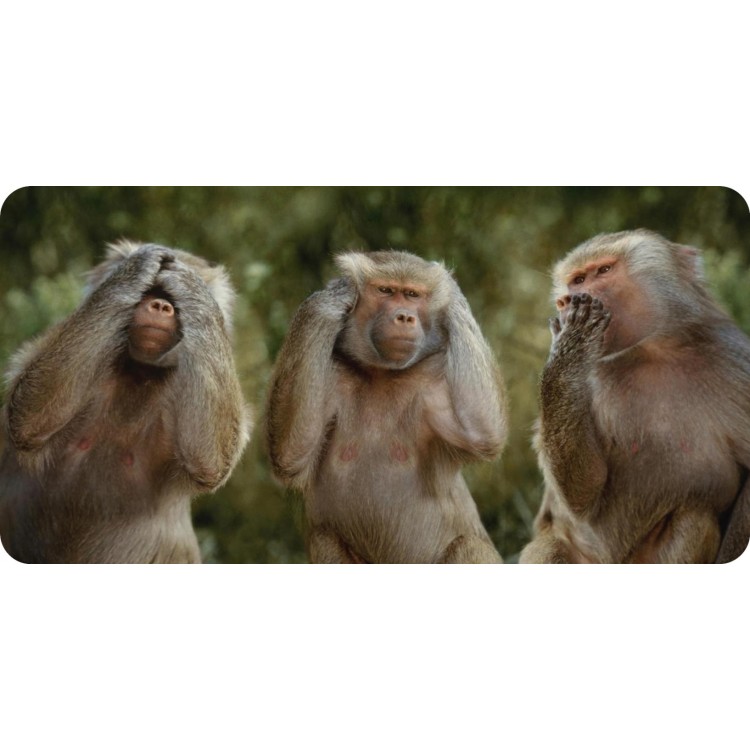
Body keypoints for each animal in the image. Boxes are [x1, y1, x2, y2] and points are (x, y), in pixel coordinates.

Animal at [0, 241, 251, 563]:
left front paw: (190, 284)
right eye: (150, 290)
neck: (138, 373)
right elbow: (27, 417)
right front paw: (137, 266)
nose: (161, 306)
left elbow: (210, 461)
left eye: (173, 299)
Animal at [266, 250, 507, 564]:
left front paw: (453, 294)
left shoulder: (433, 380)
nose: (404, 316)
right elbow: (291, 455)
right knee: (324, 539)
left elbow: (484, 433)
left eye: (412, 294)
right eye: (386, 291)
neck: (381, 374)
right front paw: (332, 296)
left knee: (470, 546)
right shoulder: (332, 374)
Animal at [519, 229, 750, 564]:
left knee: (694, 518)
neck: (651, 352)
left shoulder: (732, 359)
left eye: (603, 271)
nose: (564, 301)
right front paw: (570, 345)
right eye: (577, 279)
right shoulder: (592, 377)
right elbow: (584, 494)